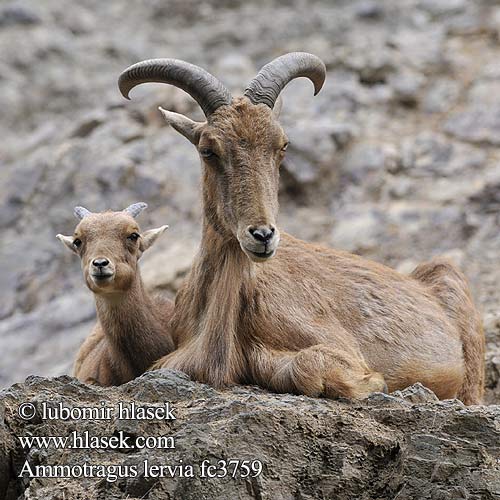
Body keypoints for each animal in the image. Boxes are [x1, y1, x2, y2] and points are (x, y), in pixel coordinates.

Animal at [118, 52, 484, 404]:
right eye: (208, 150)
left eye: (282, 145)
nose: (262, 235)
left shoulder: (332, 342)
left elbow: (309, 366)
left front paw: (372, 382)